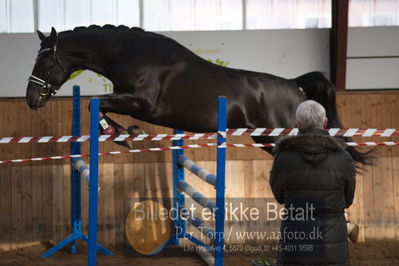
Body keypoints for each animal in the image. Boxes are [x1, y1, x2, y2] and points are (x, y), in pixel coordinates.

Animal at [25, 26, 368, 165]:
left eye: (43, 60)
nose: (31, 99)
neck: (132, 54)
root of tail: (293, 85)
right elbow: (98, 105)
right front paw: (126, 134)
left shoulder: (143, 103)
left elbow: (95, 103)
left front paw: (125, 135)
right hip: (265, 139)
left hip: (280, 136)